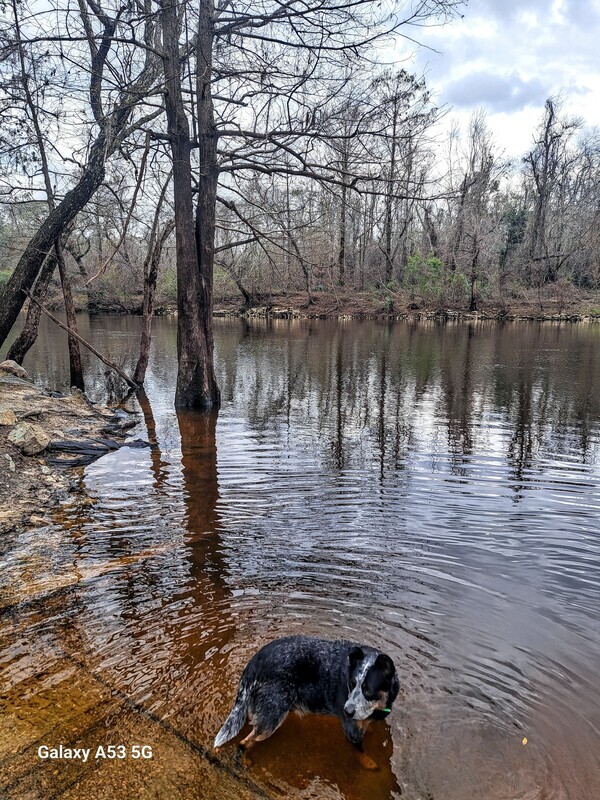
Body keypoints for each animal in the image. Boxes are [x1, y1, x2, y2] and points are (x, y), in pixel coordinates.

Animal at [212, 632, 398, 768]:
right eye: (351, 684)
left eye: (367, 690)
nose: (347, 711)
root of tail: (254, 661)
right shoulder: (351, 730)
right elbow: (360, 752)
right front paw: (370, 764)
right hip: (272, 718)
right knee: (245, 742)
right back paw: (244, 761)